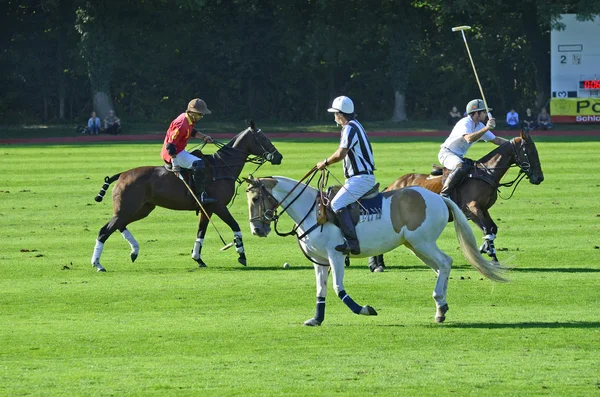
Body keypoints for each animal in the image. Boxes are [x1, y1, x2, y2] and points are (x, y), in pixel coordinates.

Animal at [92, 119, 284, 270]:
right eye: (263, 138)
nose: (279, 157)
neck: (222, 167)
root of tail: (122, 174)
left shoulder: (207, 208)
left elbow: (201, 232)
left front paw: (198, 258)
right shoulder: (218, 205)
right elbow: (235, 226)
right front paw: (241, 255)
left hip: (142, 209)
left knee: (119, 225)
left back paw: (134, 251)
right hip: (128, 208)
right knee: (105, 230)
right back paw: (98, 264)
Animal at [245, 175, 506, 324]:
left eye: (256, 198)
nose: (257, 229)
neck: (311, 210)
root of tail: (440, 198)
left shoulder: (335, 255)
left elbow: (338, 289)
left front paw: (365, 309)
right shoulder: (319, 260)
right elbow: (321, 289)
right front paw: (316, 319)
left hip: (423, 242)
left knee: (445, 262)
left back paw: (439, 305)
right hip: (416, 245)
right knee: (442, 267)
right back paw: (441, 307)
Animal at [368, 128, 548, 270]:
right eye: (530, 152)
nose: (539, 178)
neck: (486, 173)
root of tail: (391, 186)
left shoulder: (483, 209)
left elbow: (492, 229)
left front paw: (486, 249)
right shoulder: (472, 209)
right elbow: (487, 229)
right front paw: (492, 257)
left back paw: (378, 263)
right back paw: (377, 264)